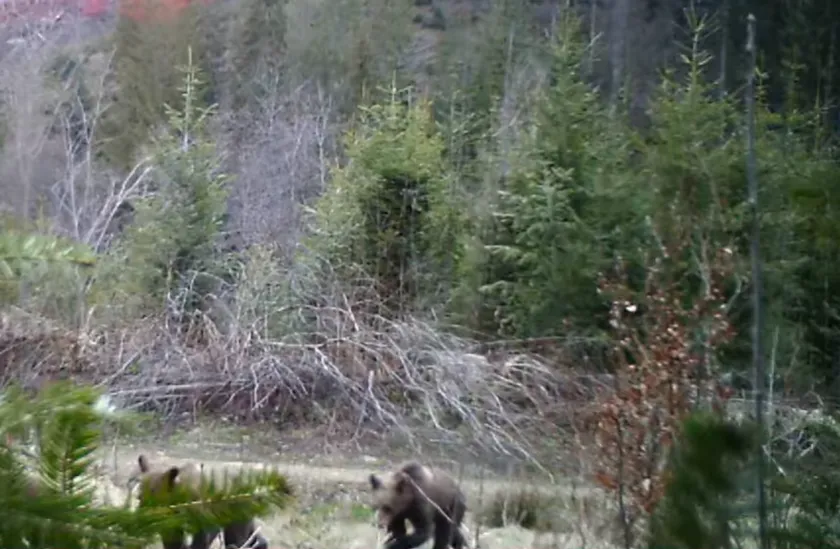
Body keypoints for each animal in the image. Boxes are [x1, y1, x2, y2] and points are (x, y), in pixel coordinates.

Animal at [130, 452, 268, 548]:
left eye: (155, 500)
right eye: (139, 497)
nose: (139, 518)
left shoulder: (205, 523)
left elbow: (199, 543)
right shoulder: (171, 527)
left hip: (237, 516)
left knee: (238, 539)